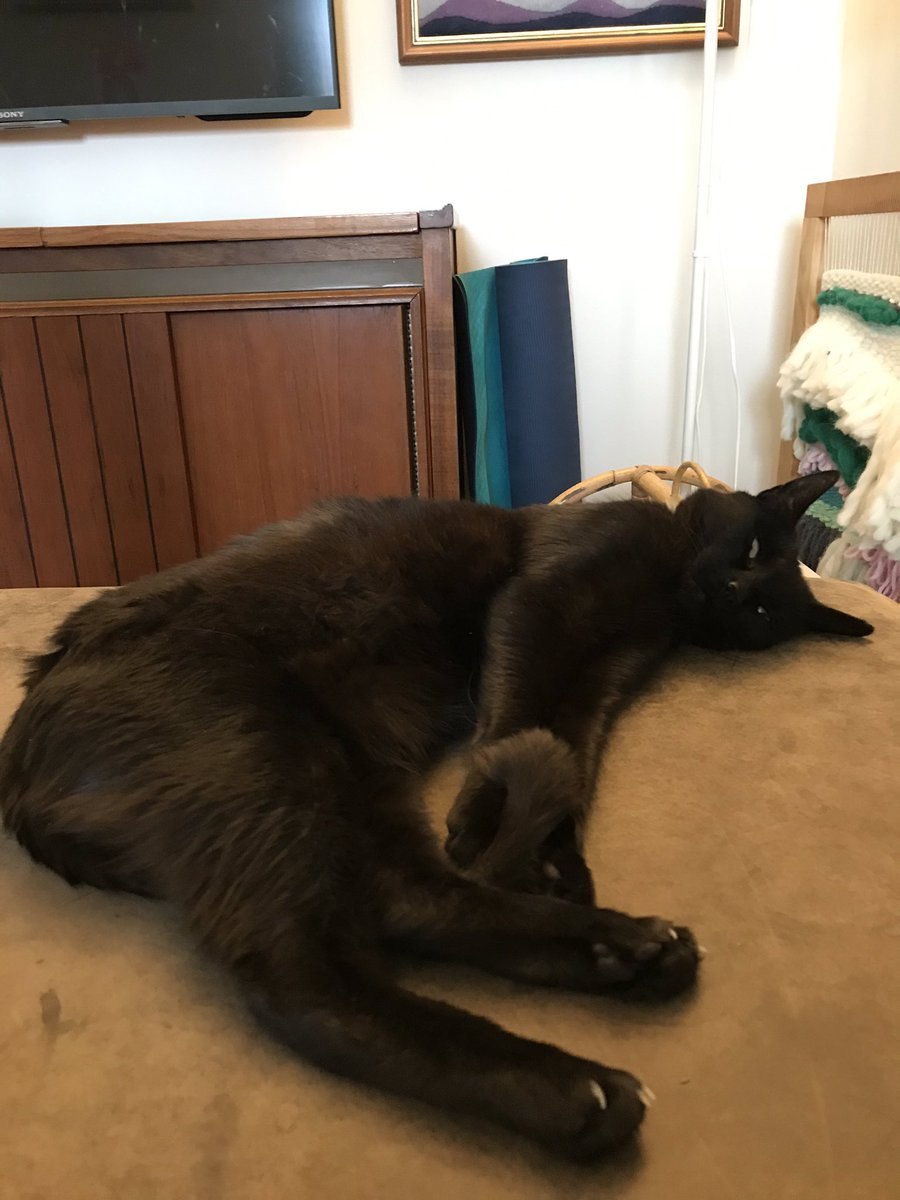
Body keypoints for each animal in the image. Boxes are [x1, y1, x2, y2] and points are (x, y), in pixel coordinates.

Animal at [0, 470, 871, 1162]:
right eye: (750, 553)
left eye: (761, 614)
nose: (727, 593)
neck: (664, 591)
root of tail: (22, 760)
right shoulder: (544, 604)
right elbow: (521, 720)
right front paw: (493, 825)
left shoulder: (600, 678)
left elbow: (568, 754)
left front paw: (555, 862)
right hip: (264, 759)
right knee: (309, 979)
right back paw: (575, 1091)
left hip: (343, 778)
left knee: (413, 903)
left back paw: (624, 953)